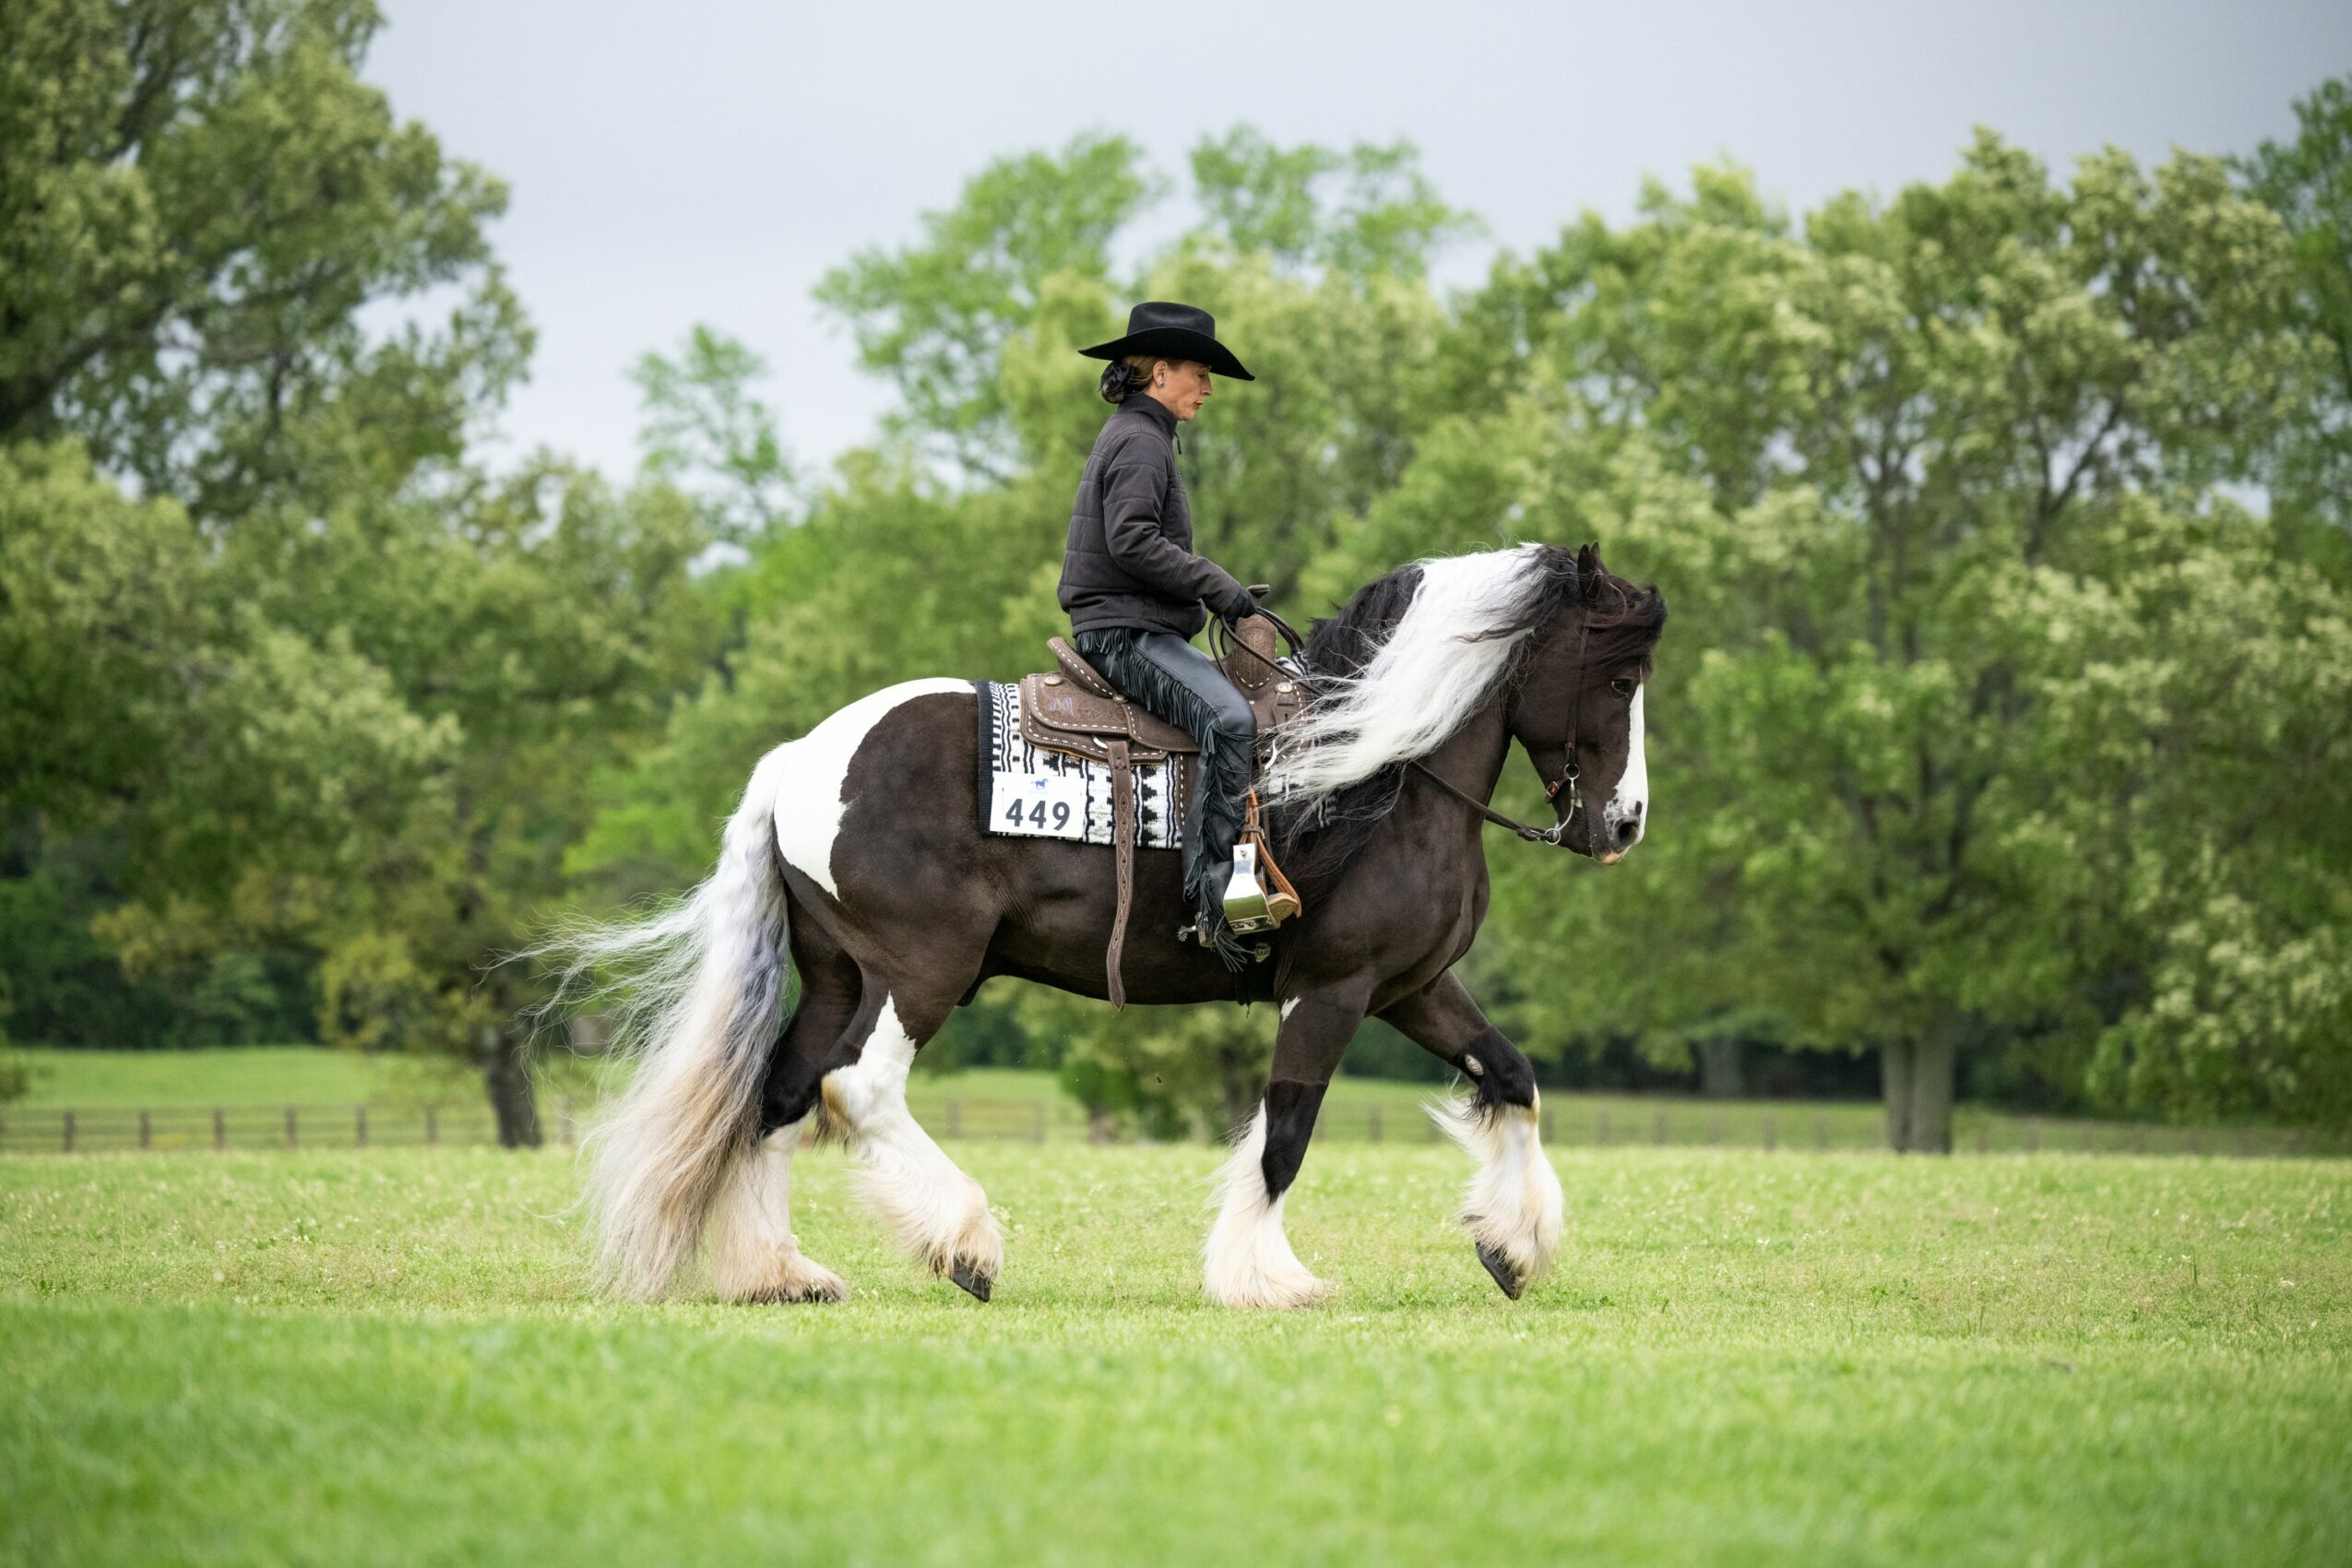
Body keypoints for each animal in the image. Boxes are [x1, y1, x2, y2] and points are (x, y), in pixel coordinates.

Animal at [543, 540, 1666, 1309]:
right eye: (1619, 677)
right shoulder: (1331, 989)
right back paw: (966, 1242)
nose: (1625, 822)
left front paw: (1512, 1245)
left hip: (838, 975)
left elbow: (1513, 1078)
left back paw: (780, 1269)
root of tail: (801, 758)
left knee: (779, 1095)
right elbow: (1286, 1133)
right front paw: (1267, 1277)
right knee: (856, 1087)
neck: (1375, 772)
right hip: (920, 969)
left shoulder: (1413, 986)